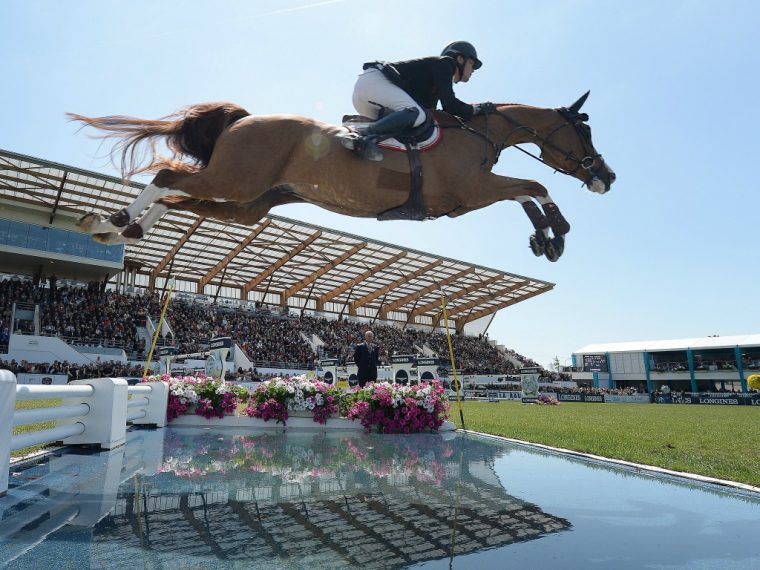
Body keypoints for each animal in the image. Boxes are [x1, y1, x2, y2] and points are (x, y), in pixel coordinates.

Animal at [68, 92, 616, 260]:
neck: (481, 133)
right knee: (166, 176)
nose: (606, 177)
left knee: (178, 196)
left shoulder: (473, 195)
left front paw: (544, 239)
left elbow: (524, 193)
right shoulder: (470, 191)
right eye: (586, 132)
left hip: (248, 204)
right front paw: (556, 231)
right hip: (237, 182)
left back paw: (120, 228)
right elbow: (534, 186)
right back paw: (112, 220)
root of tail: (244, 119)